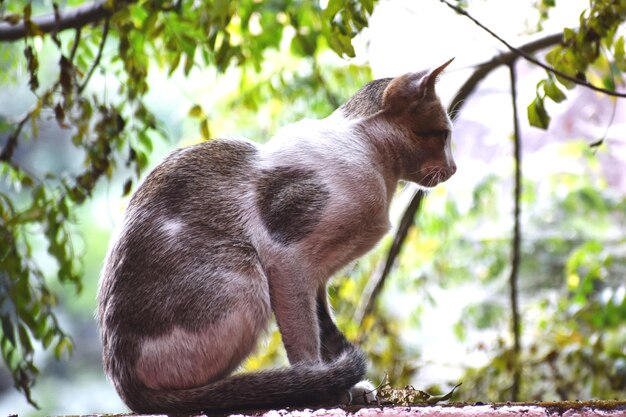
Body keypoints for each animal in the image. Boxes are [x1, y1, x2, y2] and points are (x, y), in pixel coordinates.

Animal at [98, 58, 454, 412]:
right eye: (443, 134)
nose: (453, 169)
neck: (377, 165)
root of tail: (122, 381)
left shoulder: (318, 278)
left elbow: (325, 330)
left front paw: (344, 386)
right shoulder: (288, 260)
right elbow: (304, 338)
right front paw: (321, 390)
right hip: (244, 273)